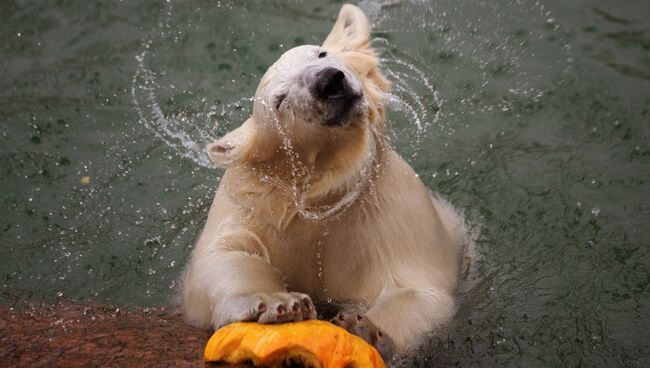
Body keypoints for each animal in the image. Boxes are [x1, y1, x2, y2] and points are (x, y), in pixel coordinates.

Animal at [180, 2, 468, 360]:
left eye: (321, 53)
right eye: (281, 98)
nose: (329, 81)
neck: (323, 193)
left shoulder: (394, 207)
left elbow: (417, 287)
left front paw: (365, 328)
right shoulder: (255, 201)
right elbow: (223, 255)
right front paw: (279, 303)